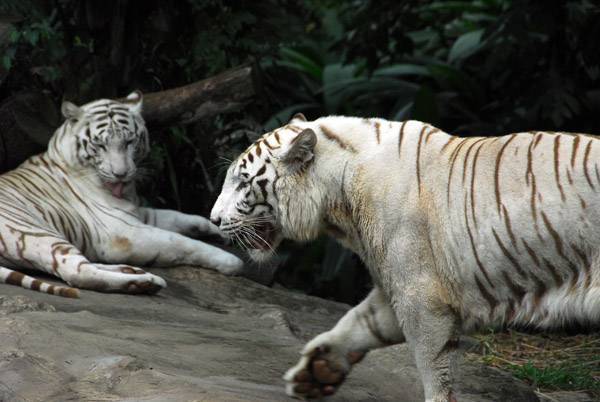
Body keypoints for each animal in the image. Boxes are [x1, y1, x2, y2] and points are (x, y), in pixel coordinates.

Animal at [1, 92, 244, 298]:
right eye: (100, 145)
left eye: (129, 142)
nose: (121, 174)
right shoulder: (123, 231)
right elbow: (182, 242)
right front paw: (230, 261)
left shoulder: (137, 212)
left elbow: (179, 216)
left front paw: (218, 231)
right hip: (35, 231)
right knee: (76, 272)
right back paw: (144, 282)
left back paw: (132, 272)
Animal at [210, 113, 600, 402]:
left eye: (242, 182)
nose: (213, 220)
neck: (339, 197)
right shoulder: (395, 286)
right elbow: (358, 321)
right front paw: (316, 372)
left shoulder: (420, 295)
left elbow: (433, 366)